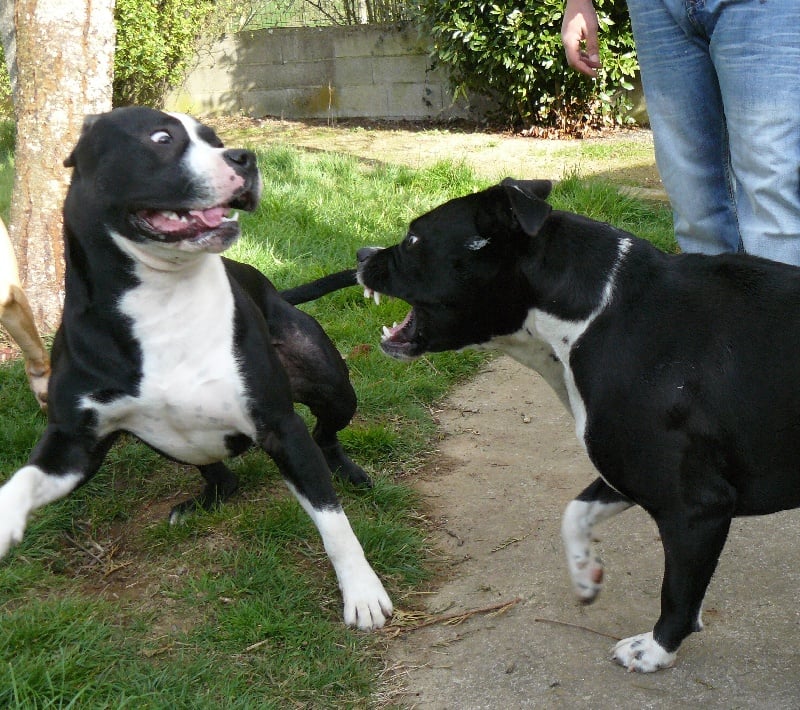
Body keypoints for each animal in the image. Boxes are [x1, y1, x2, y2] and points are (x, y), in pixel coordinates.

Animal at [356, 179, 800, 672]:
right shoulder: (624, 472)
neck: (599, 312)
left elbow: (677, 591)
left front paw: (657, 649)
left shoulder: (693, 505)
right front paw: (586, 573)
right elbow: (574, 513)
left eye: (414, 240)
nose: (360, 254)